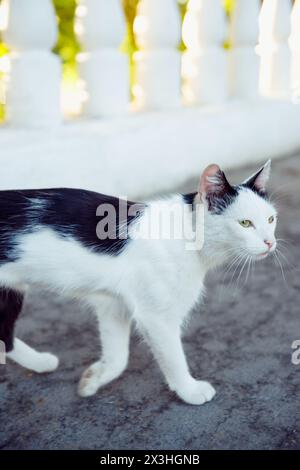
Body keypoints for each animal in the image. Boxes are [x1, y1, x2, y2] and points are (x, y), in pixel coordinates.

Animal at [0, 161, 276, 404]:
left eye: (271, 220)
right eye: (245, 223)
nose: (270, 242)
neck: (184, 235)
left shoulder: (113, 303)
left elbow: (118, 357)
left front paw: (95, 378)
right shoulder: (156, 317)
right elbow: (173, 357)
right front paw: (189, 390)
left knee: (4, 338)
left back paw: (39, 363)